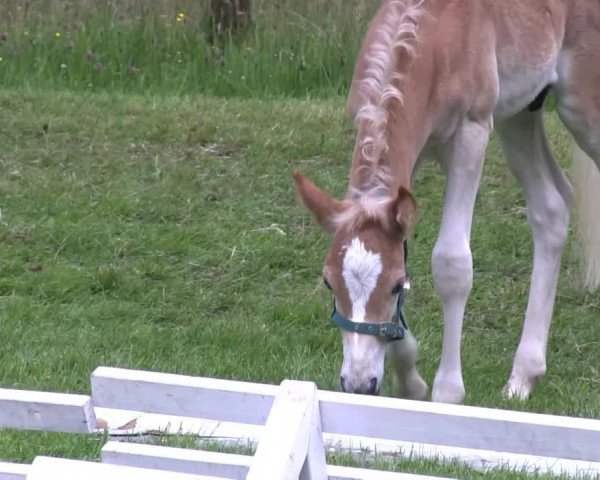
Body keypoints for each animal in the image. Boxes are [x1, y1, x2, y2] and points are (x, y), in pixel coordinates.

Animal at [292, 0, 600, 404]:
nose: (358, 384)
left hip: (582, 107)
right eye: (329, 283)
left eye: (394, 285)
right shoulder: (410, 152)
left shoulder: (472, 131)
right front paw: (410, 379)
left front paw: (447, 393)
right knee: (552, 205)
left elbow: (452, 263)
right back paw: (523, 376)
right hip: (520, 114)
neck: (436, 37)